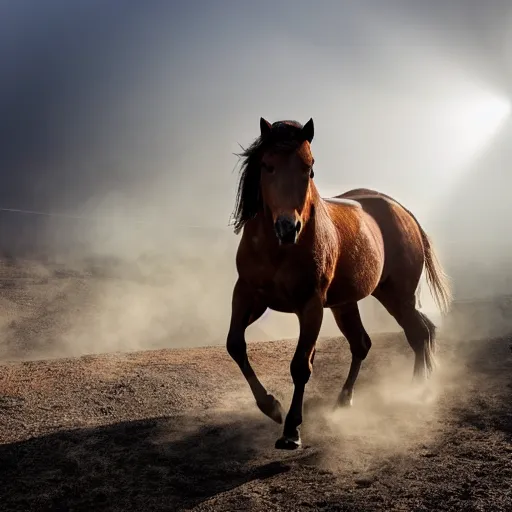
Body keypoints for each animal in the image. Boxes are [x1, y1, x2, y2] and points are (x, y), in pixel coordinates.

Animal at [226, 118, 450, 450]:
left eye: (309, 167)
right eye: (267, 166)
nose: (288, 228)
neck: (278, 248)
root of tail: (400, 209)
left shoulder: (311, 306)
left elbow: (300, 365)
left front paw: (291, 429)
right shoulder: (248, 296)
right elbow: (235, 345)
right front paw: (271, 407)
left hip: (398, 297)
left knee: (417, 334)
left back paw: (415, 389)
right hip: (350, 304)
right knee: (364, 343)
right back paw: (344, 401)